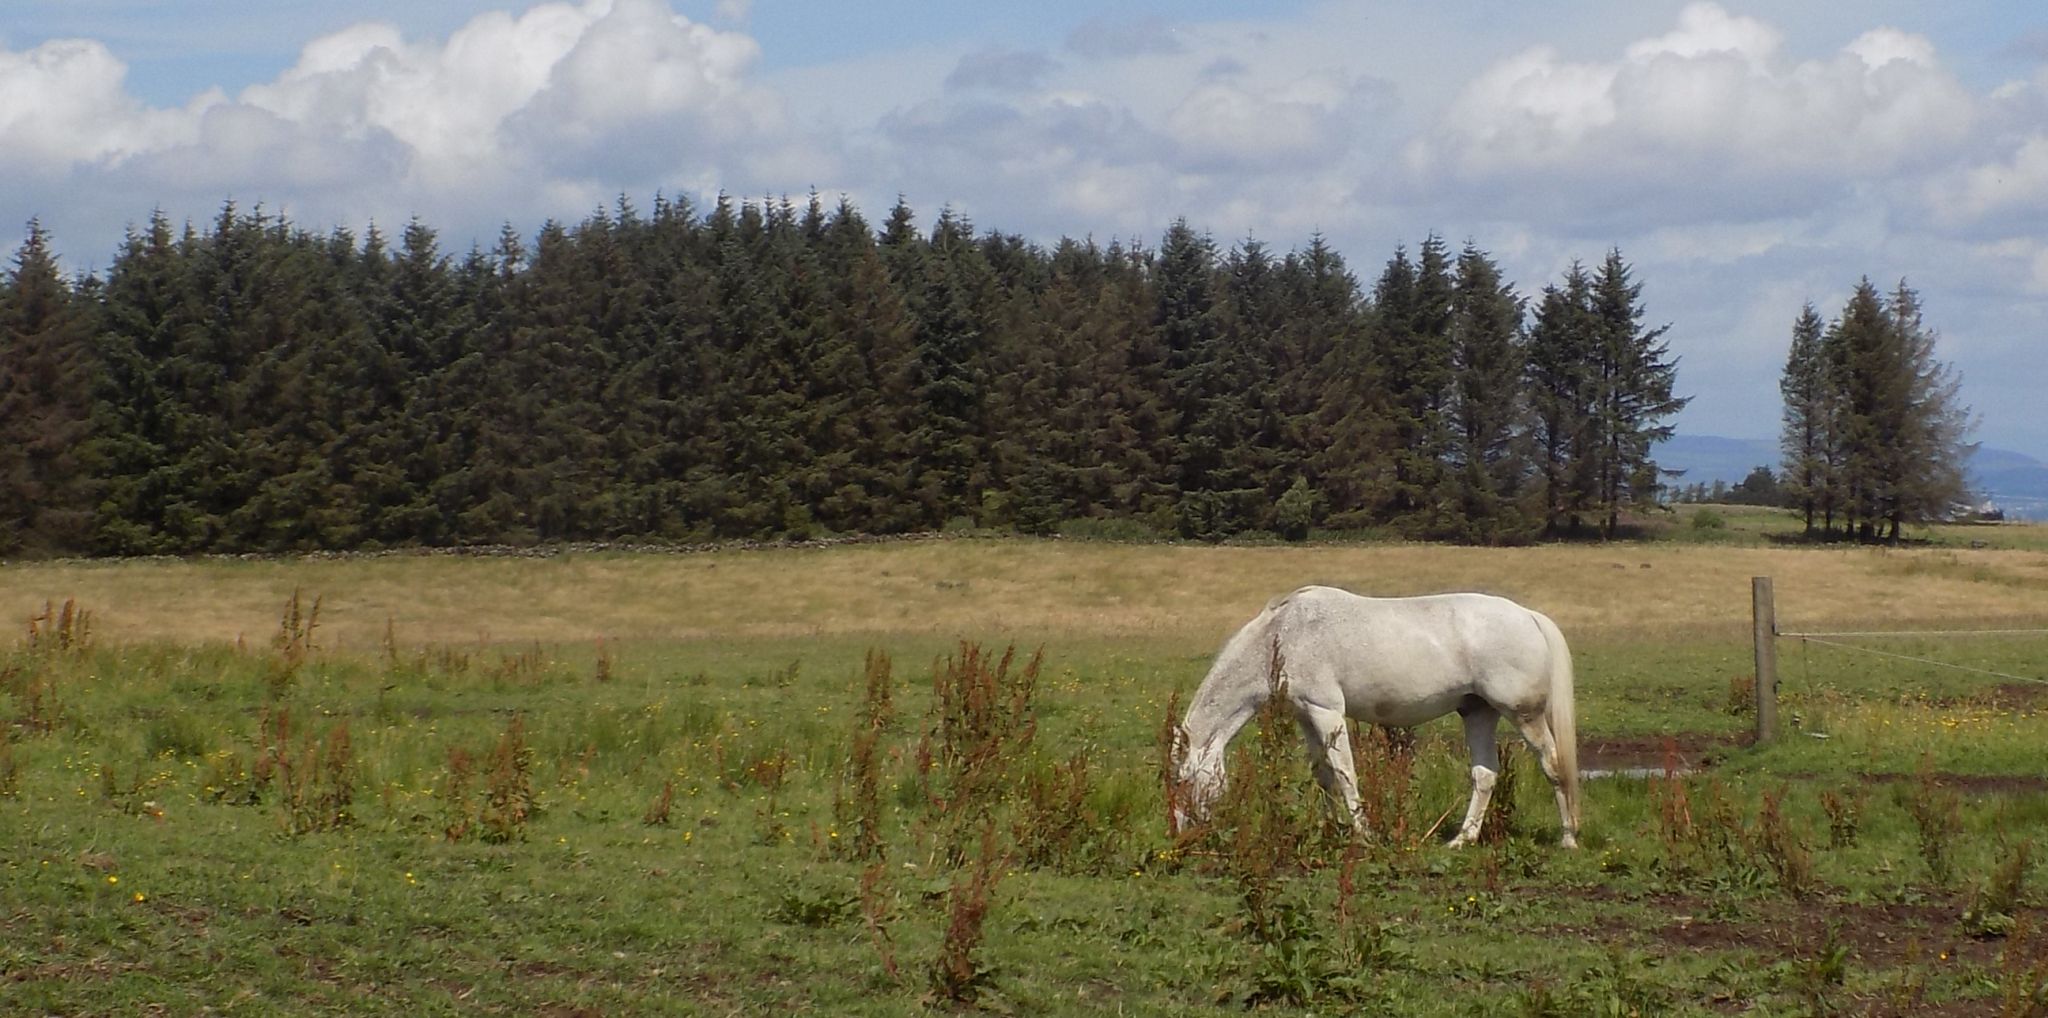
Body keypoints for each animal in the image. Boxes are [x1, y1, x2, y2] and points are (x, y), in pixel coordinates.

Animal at [1171, 581, 1581, 843]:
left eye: (1183, 781)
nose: (1181, 833)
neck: (1281, 636)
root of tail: (1528, 616)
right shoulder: (1306, 716)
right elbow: (1324, 775)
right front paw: (1330, 830)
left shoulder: (1327, 711)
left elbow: (1345, 773)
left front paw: (1364, 835)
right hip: (1478, 713)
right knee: (1485, 775)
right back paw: (1461, 840)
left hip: (1524, 714)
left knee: (1553, 764)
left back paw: (1568, 838)